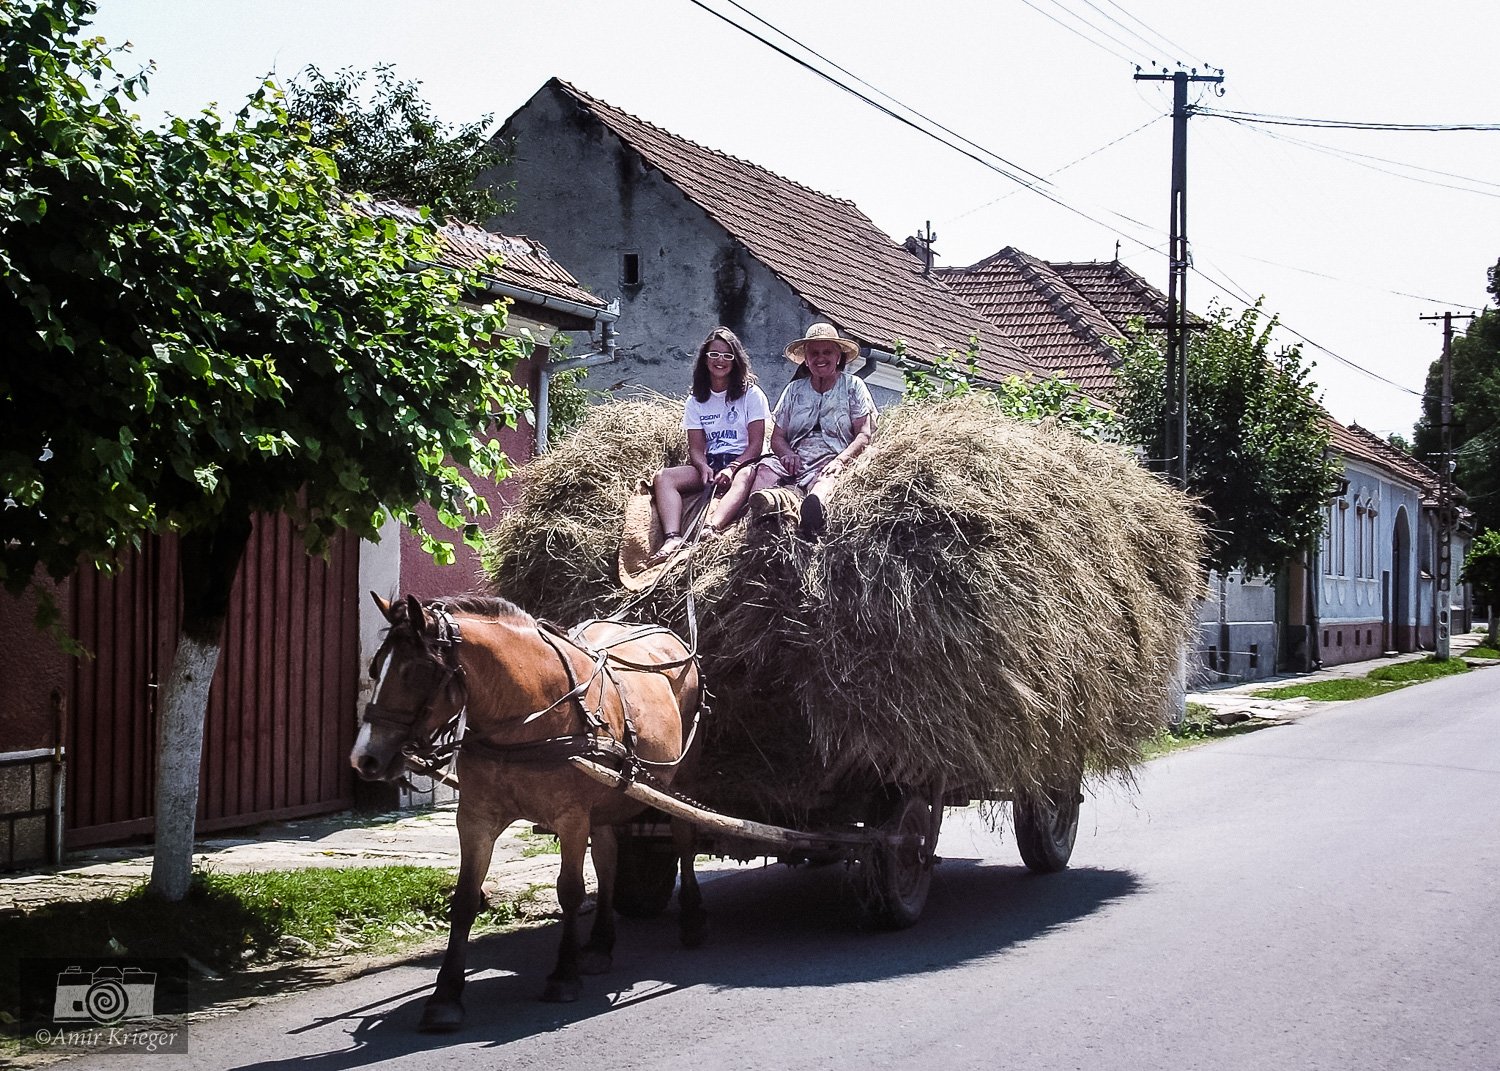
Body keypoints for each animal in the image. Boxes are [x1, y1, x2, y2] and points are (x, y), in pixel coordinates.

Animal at [349, 588, 702, 1032]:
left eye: (417, 672)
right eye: (376, 668)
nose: (364, 759)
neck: (523, 715)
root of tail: (669, 636)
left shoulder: (571, 817)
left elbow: (570, 891)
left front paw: (563, 976)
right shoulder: (476, 818)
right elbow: (465, 900)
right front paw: (445, 996)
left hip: (680, 777)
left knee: (685, 841)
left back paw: (691, 920)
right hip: (605, 800)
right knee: (608, 859)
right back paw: (600, 944)